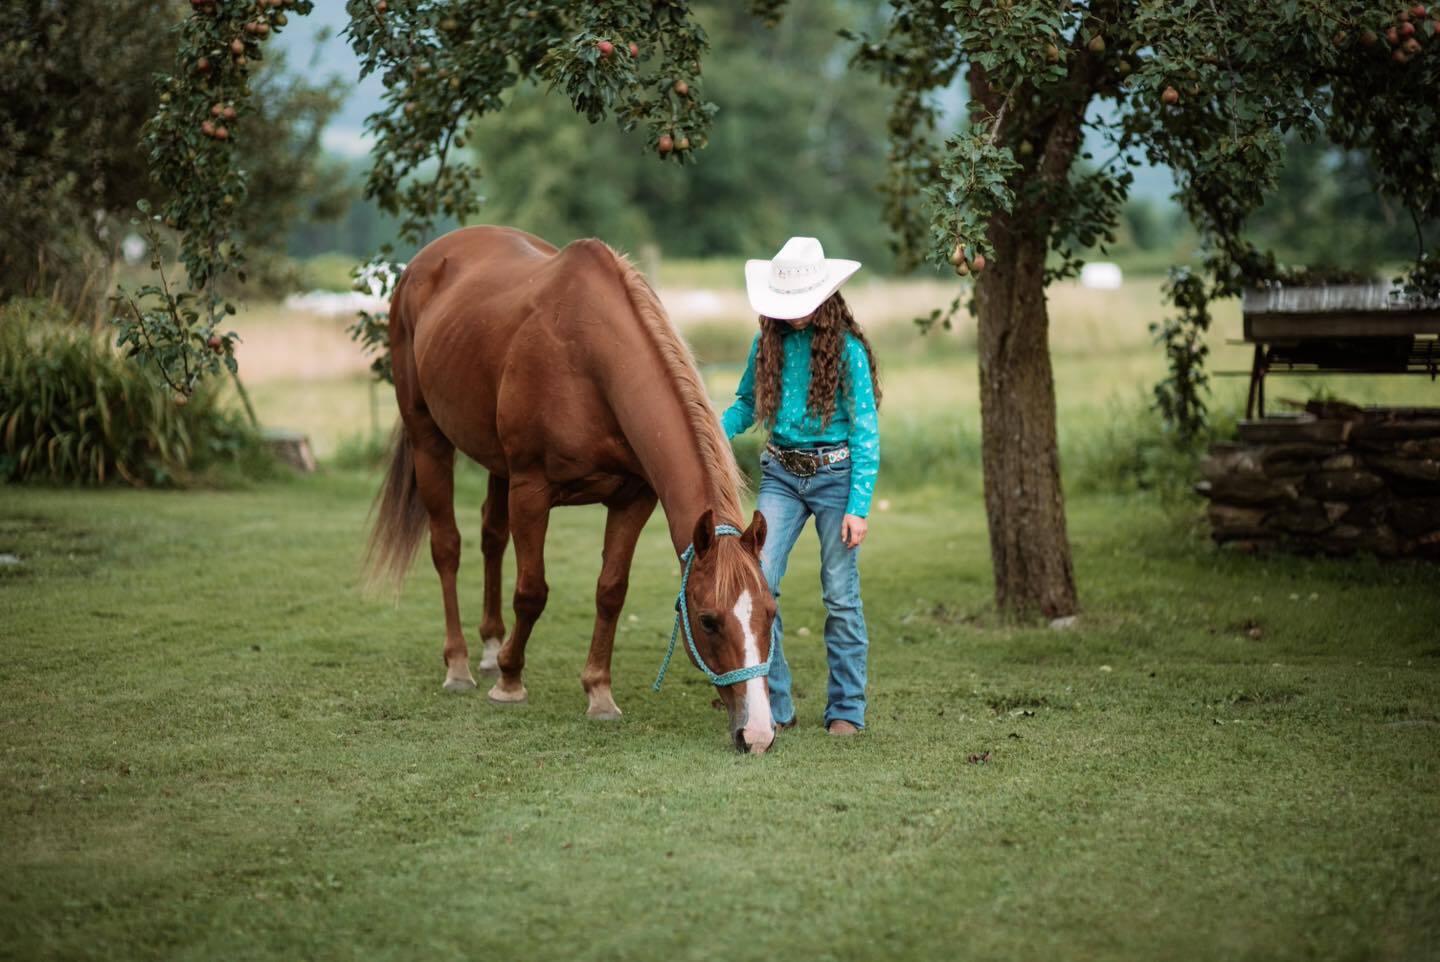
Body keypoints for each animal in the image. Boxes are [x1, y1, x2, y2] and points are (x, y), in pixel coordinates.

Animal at [365, 225, 778, 754]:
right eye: (707, 620)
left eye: (770, 612)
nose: (759, 733)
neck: (590, 360)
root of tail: (424, 262)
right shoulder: (531, 490)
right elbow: (531, 591)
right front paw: (510, 682)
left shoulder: (632, 498)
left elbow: (611, 591)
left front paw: (598, 693)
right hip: (429, 439)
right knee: (448, 548)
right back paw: (460, 665)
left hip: (496, 466)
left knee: (491, 538)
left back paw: (490, 647)